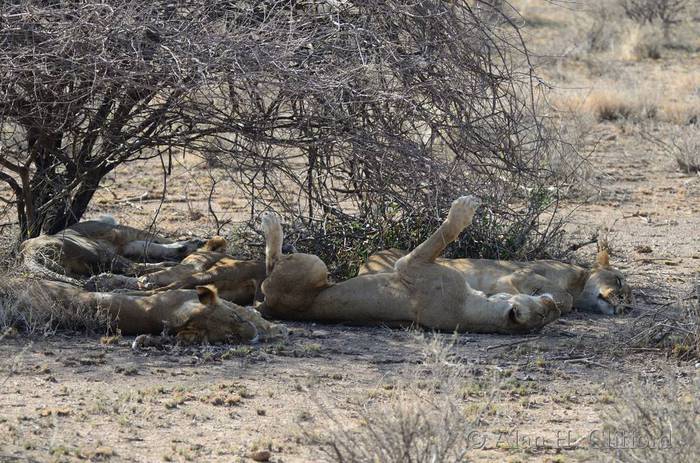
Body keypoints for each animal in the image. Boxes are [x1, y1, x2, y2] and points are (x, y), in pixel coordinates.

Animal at [20, 216, 205, 285]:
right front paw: (192, 243)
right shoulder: (122, 233)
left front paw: (186, 246)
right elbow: (156, 239)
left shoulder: (126, 243)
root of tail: (27, 252)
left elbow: (153, 245)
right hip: (96, 250)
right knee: (135, 268)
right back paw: (168, 265)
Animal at [257, 196, 561, 334]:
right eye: (543, 312)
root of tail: (270, 308)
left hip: (314, 265)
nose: (554, 303)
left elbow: (443, 235)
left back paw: (271, 222)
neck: (473, 311)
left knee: (271, 265)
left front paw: (462, 210)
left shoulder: (411, 265)